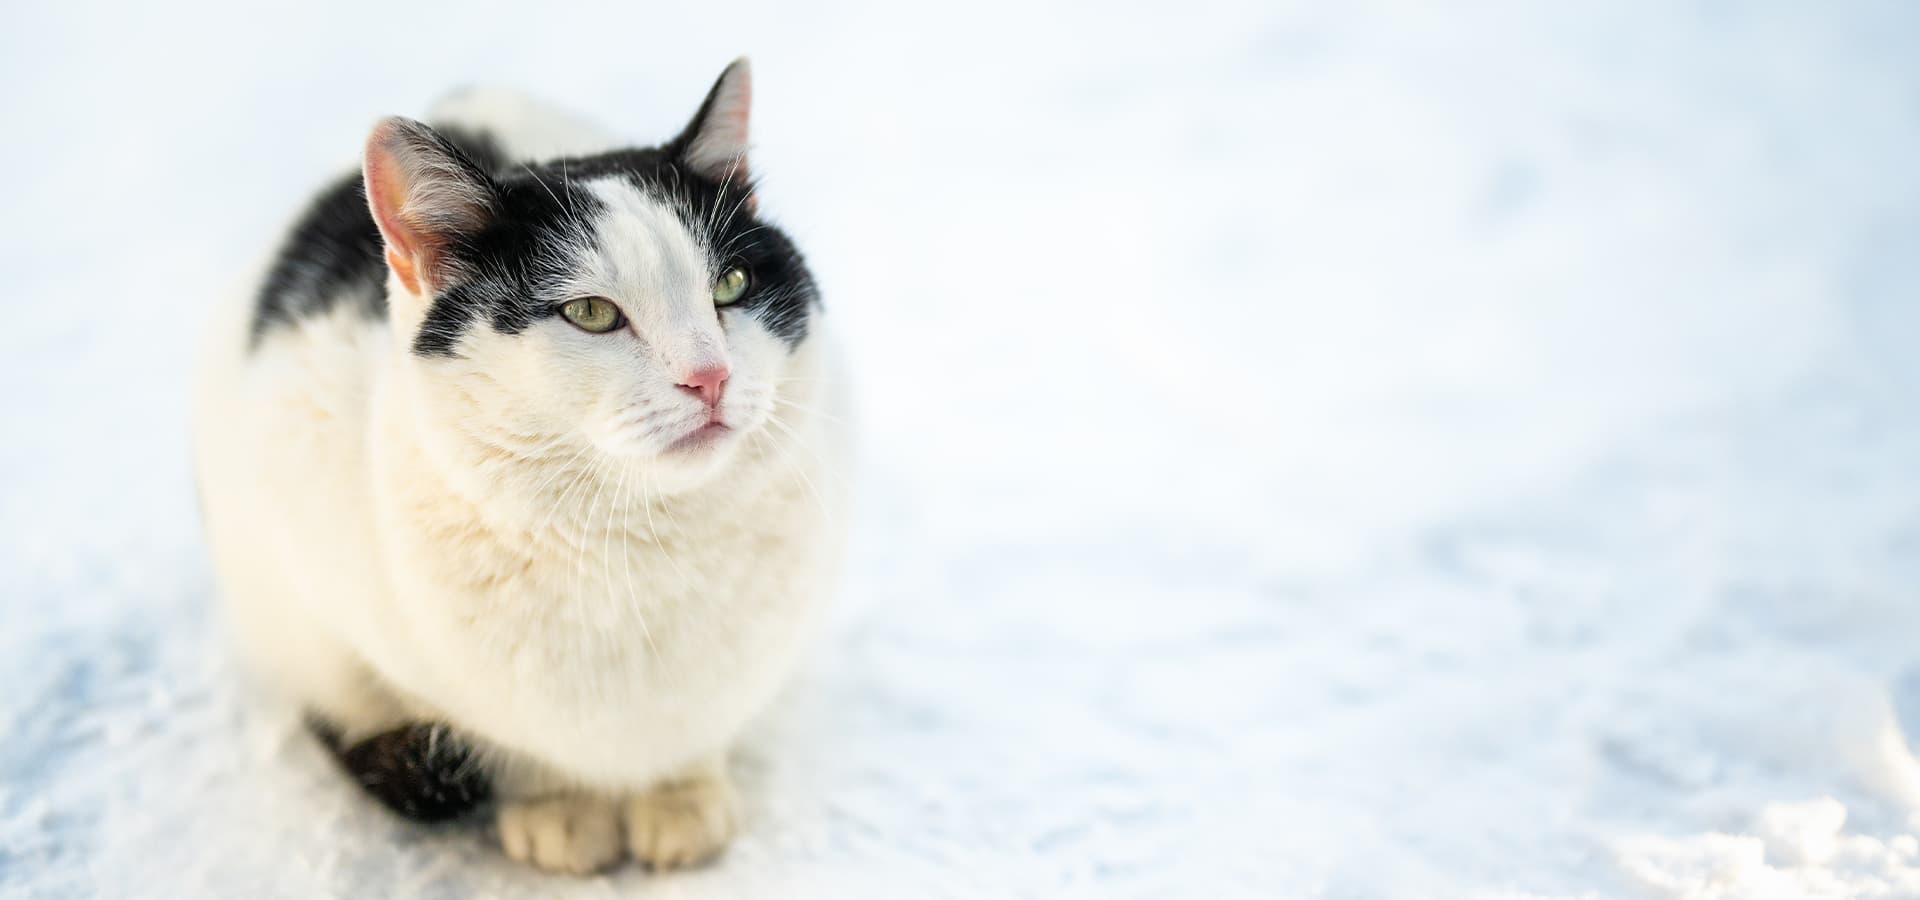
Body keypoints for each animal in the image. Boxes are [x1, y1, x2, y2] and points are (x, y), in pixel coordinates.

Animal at [192, 59, 848, 875]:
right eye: (591, 314)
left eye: (731, 283)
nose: (710, 376)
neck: (645, 544)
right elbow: (516, 738)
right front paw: (559, 807)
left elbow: (696, 726)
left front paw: (681, 795)